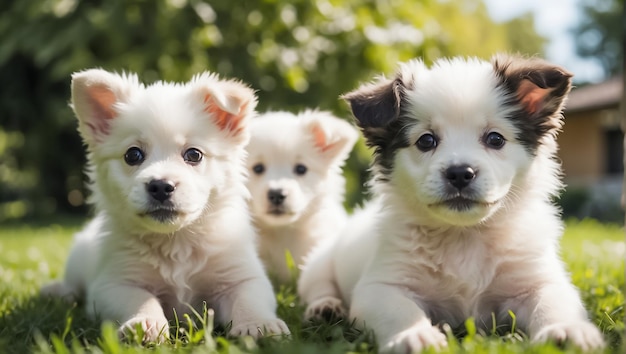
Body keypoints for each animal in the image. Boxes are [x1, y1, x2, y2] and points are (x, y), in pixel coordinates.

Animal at [41, 68, 290, 342]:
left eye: (194, 154)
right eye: (132, 155)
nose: (160, 186)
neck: (176, 241)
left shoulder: (242, 275)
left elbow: (248, 300)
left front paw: (259, 324)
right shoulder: (114, 284)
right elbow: (141, 298)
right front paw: (144, 323)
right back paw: (58, 291)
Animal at [298, 54, 604, 352]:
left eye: (495, 138)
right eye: (426, 141)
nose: (459, 173)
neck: (464, 236)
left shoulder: (537, 280)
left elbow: (552, 303)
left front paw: (566, 329)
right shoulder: (381, 285)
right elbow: (400, 310)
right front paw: (415, 335)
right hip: (318, 263)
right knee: (318, 286)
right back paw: (326, 307)